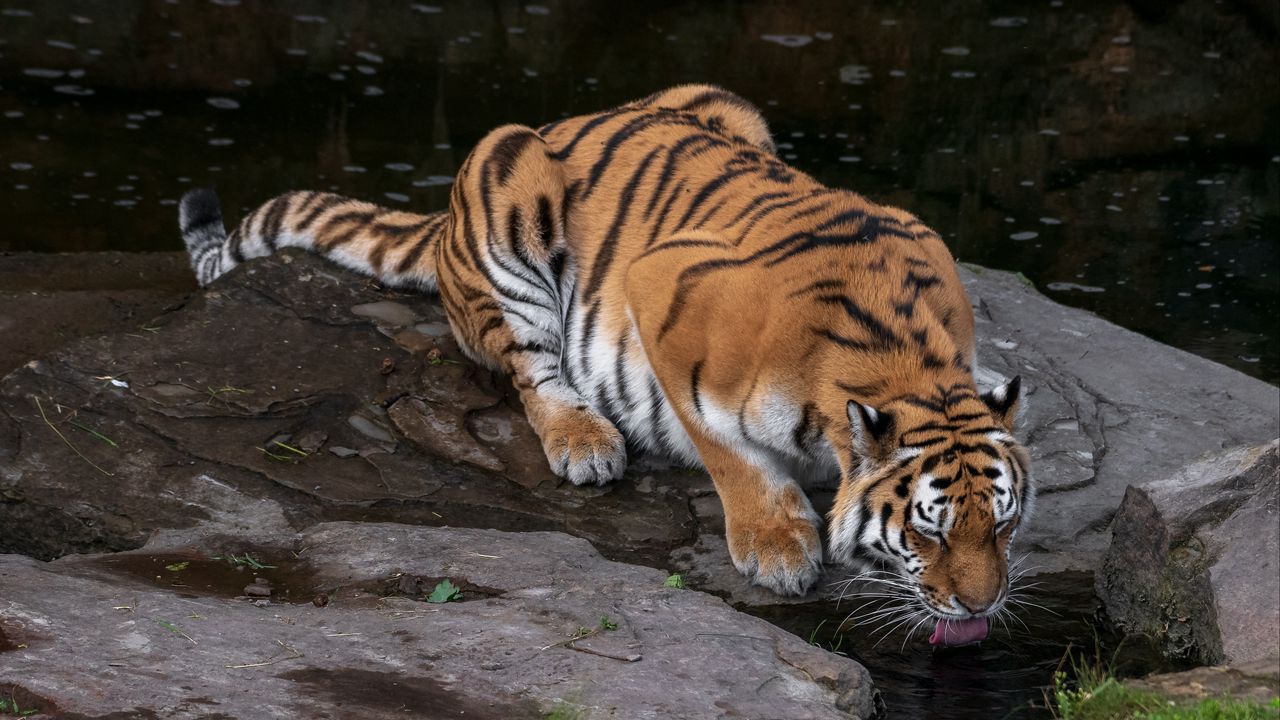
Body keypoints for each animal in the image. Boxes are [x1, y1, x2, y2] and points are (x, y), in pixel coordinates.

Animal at [179, 84, 1032, 642]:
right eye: (926, 532)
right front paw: (777, 544)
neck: (907, 367)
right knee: (532, 372)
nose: (982, 607)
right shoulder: (663, 302)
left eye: (1002, 525)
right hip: (505, 177)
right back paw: (584, 442)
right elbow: (727, 449)